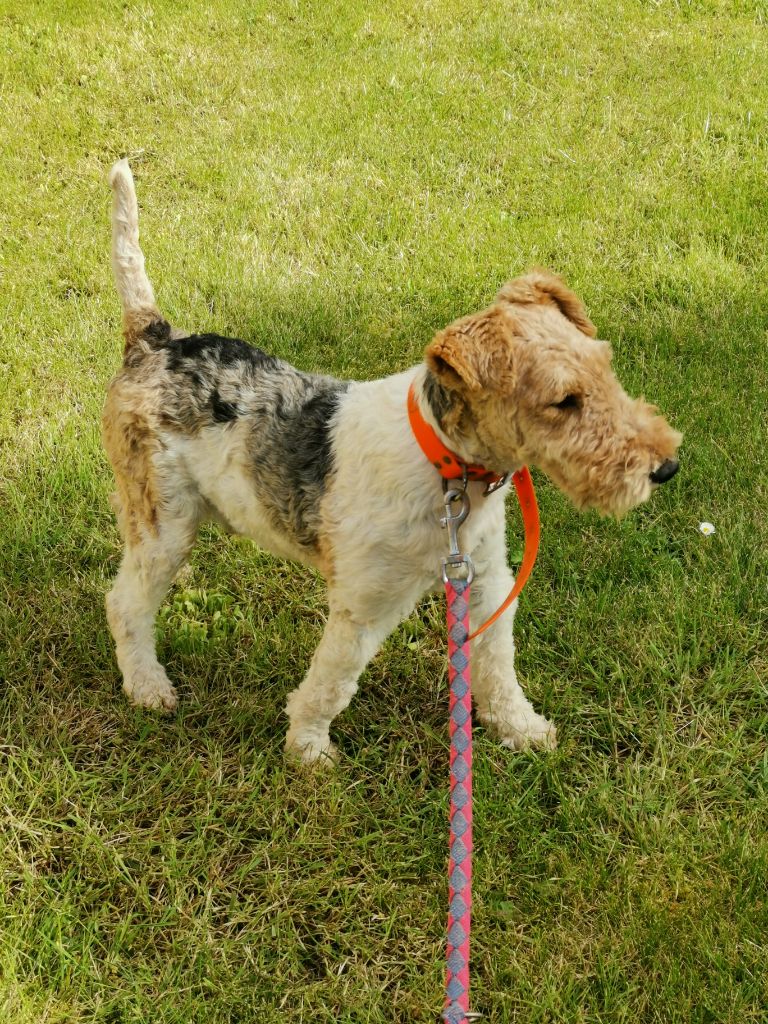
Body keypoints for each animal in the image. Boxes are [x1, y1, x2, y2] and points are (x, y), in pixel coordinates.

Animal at [103, 159, 684, 765]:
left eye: (604, 365)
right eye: (563, 400)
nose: (665, 467)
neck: (447, 470)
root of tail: (154, 340)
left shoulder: (487, 583)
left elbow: (498, 668)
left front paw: (522, 730)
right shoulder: (365, 606)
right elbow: (332, 683)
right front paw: (308, 751)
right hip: (162, 519)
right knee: (125, 604)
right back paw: (149, 688)